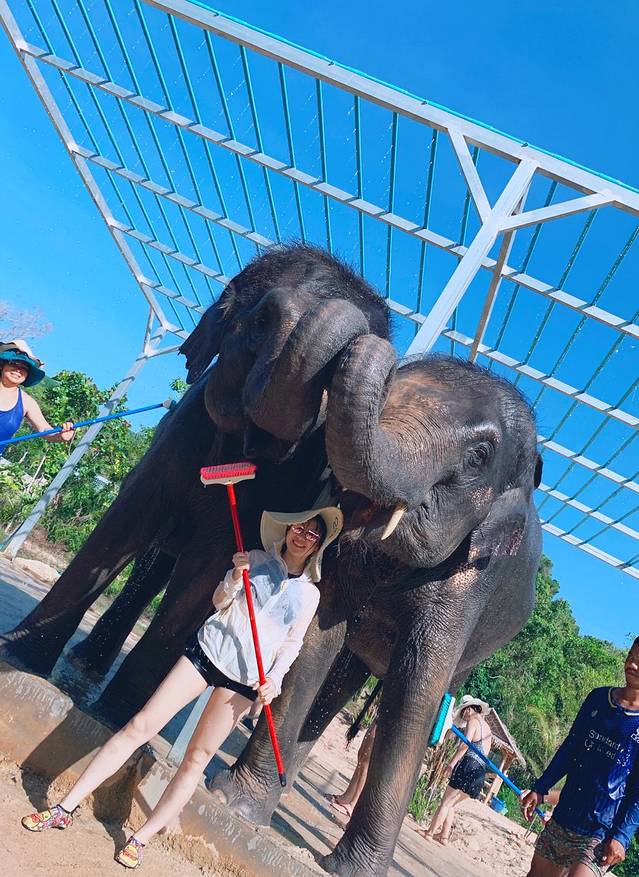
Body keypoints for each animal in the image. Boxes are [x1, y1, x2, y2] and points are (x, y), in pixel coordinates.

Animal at [1, 244, 390, 722]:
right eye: (262, 321)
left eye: (338, 375)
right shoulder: (181, 431)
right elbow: (126, 520)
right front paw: (18, 658)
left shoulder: (292, 483)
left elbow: (209, 569)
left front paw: (113, 717)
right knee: (150, 566)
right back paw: (84, 664)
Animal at [209, 336, 543, 877]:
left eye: (480, 455)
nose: (376, 346)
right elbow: (316, 641)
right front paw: (234, 803)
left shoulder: (474, 578)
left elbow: (416, 692)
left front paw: (347, 870)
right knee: (340, 678)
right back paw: (282, 788)